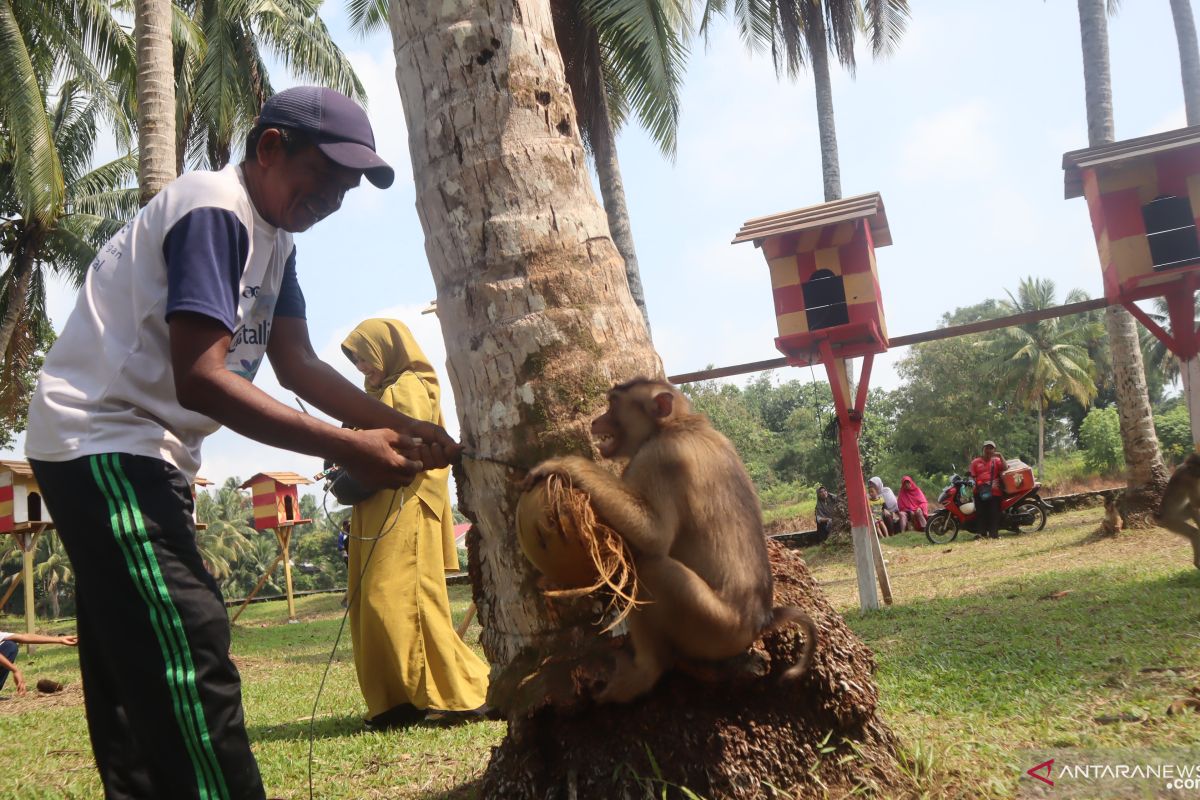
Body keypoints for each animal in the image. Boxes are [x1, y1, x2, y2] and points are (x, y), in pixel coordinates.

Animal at [525, 379, 816, 705]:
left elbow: (654, 536)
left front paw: (568, 465)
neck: (676, 424)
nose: (596, 421)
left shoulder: (659, 457)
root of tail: (761, 619)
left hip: (716, 627)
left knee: (652, 569)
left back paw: (645, 671)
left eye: (613, 405)